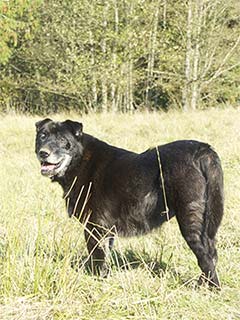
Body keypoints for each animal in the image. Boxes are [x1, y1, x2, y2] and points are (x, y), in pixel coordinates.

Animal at [34, 119, 224, 288]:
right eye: (42, 136)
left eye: (62, 140)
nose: (43, 153)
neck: (80, 160)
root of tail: (203, 150)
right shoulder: (106, 229)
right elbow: (105, 256)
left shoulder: (94, 226)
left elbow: (96, 257)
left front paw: (96, 280)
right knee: (212, 254)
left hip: (190, 219)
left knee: (206, 259)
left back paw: (210, 289)